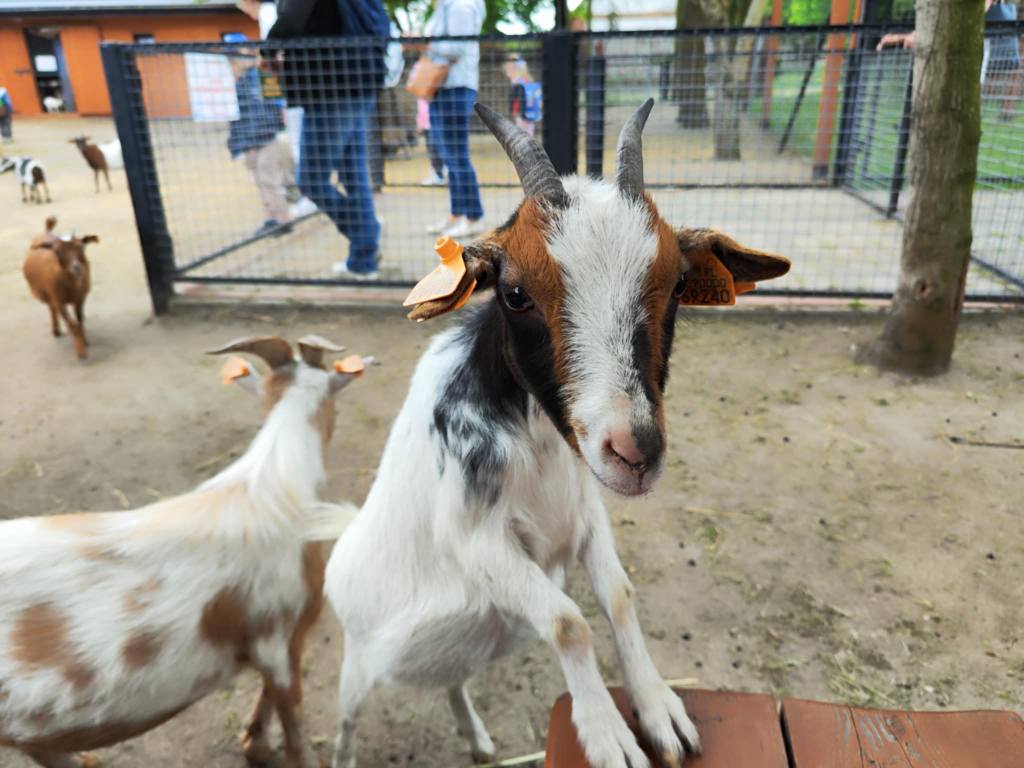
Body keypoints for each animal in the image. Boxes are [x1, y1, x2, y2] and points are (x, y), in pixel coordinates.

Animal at [22, 217, 97, 360]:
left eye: (81, 246)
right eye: (57, 252)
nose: (76, 267)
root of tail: (46, 232)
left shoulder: (80, 298)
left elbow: (79, 320)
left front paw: (84, 340)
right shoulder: (58, 301)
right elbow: (72, 324)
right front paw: (81, 351)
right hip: (46, 295)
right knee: (51, 309)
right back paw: (56, 330)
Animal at [324, 100, 791, 768]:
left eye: (678, 283)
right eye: (515, 293)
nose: (635, 451)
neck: (539, 446)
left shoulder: (585, 511)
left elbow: (618, 595)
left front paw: (660, 710)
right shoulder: (477, 541)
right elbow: (570, 621)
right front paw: (608, 735)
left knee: (452, 683)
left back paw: (477, 738)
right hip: (357, 669)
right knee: (345, 722)